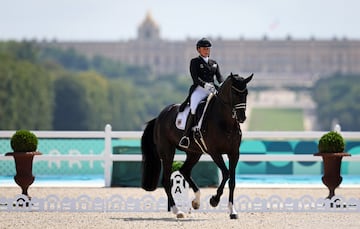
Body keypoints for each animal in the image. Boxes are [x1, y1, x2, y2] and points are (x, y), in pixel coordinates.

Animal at [141, 73, 253, 218]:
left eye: (246, 93)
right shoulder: (215, 152)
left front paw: (232, 211)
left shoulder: (234, 153)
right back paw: (177, 210)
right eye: (234, 93)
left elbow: (232, 181)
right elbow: (226, 173)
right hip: (167, 152)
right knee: (166, 180)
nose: (242, 117)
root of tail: (160, 117)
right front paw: (214, 200)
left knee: (184, 171)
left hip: (194, 153)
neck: (225, 122)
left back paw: (196, 202)